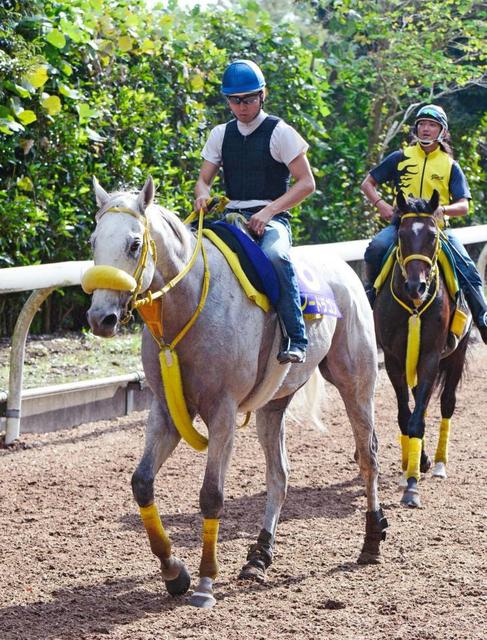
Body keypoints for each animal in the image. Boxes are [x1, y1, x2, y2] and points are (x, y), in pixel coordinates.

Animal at [82, 178, 388, 608]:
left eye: (134, 244)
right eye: (94, 241)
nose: (101, 318)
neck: (191, 304)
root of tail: (343, 268)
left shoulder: (222, 412)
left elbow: (212, 494)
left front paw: (205, 582)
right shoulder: (166, 411)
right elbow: (141, 482)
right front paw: (174, 572)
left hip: (356, 382)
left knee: (368, 457)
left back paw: (372, 540)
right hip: (272, 406)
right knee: (279, 475)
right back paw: (259, 556)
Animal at [374, 188, 472, 508]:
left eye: (431, 235)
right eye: (402, 235)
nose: (416, 287)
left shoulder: (430, 356)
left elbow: (418, 418)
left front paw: (412, 487)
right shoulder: (394, 359)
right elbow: (406, 415)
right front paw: (411, 464)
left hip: (456, 355)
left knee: (446, 403)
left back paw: (439, 463)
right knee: (421, 401)